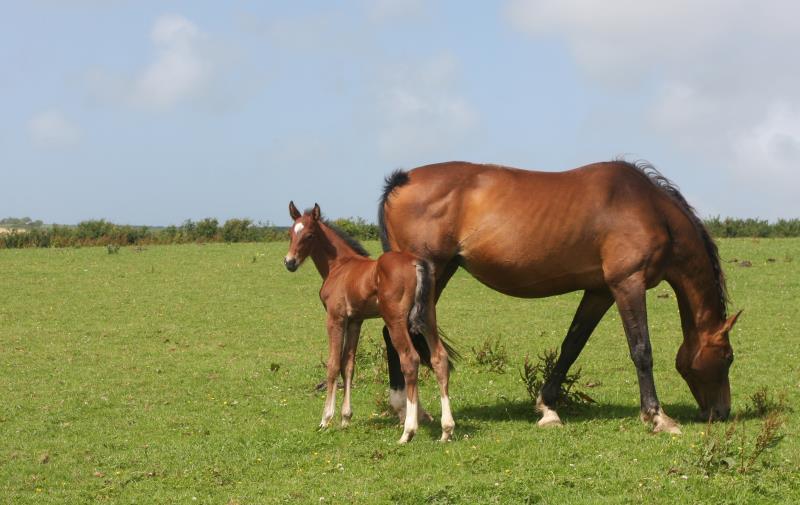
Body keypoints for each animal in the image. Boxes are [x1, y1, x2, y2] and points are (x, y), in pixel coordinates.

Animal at [284, 201, 454, 440]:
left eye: (309, 235)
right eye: (291, 233)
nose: (289, 262)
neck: (339, 266)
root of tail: (416, 263)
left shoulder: (335, 318)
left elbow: (333, 364)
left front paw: (326, 419)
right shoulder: (356, 321)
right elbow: (348, 364)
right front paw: (345, 418)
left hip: (395, 320)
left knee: (410, 360)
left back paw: (408, 431)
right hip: (428, 315)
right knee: (439, 358)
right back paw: (446, 430)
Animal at [378, 159, 740, 432]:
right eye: (727, 357)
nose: (721, 412)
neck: (650, 208)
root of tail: (401, 180)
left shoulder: (600, 291)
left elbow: (571, 346)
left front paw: (547, 407)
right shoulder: (628, 284)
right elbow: (641, 350)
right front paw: (657, 416)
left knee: (393, 332)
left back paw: (406, 409)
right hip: (432, 272)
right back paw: (408, 411)